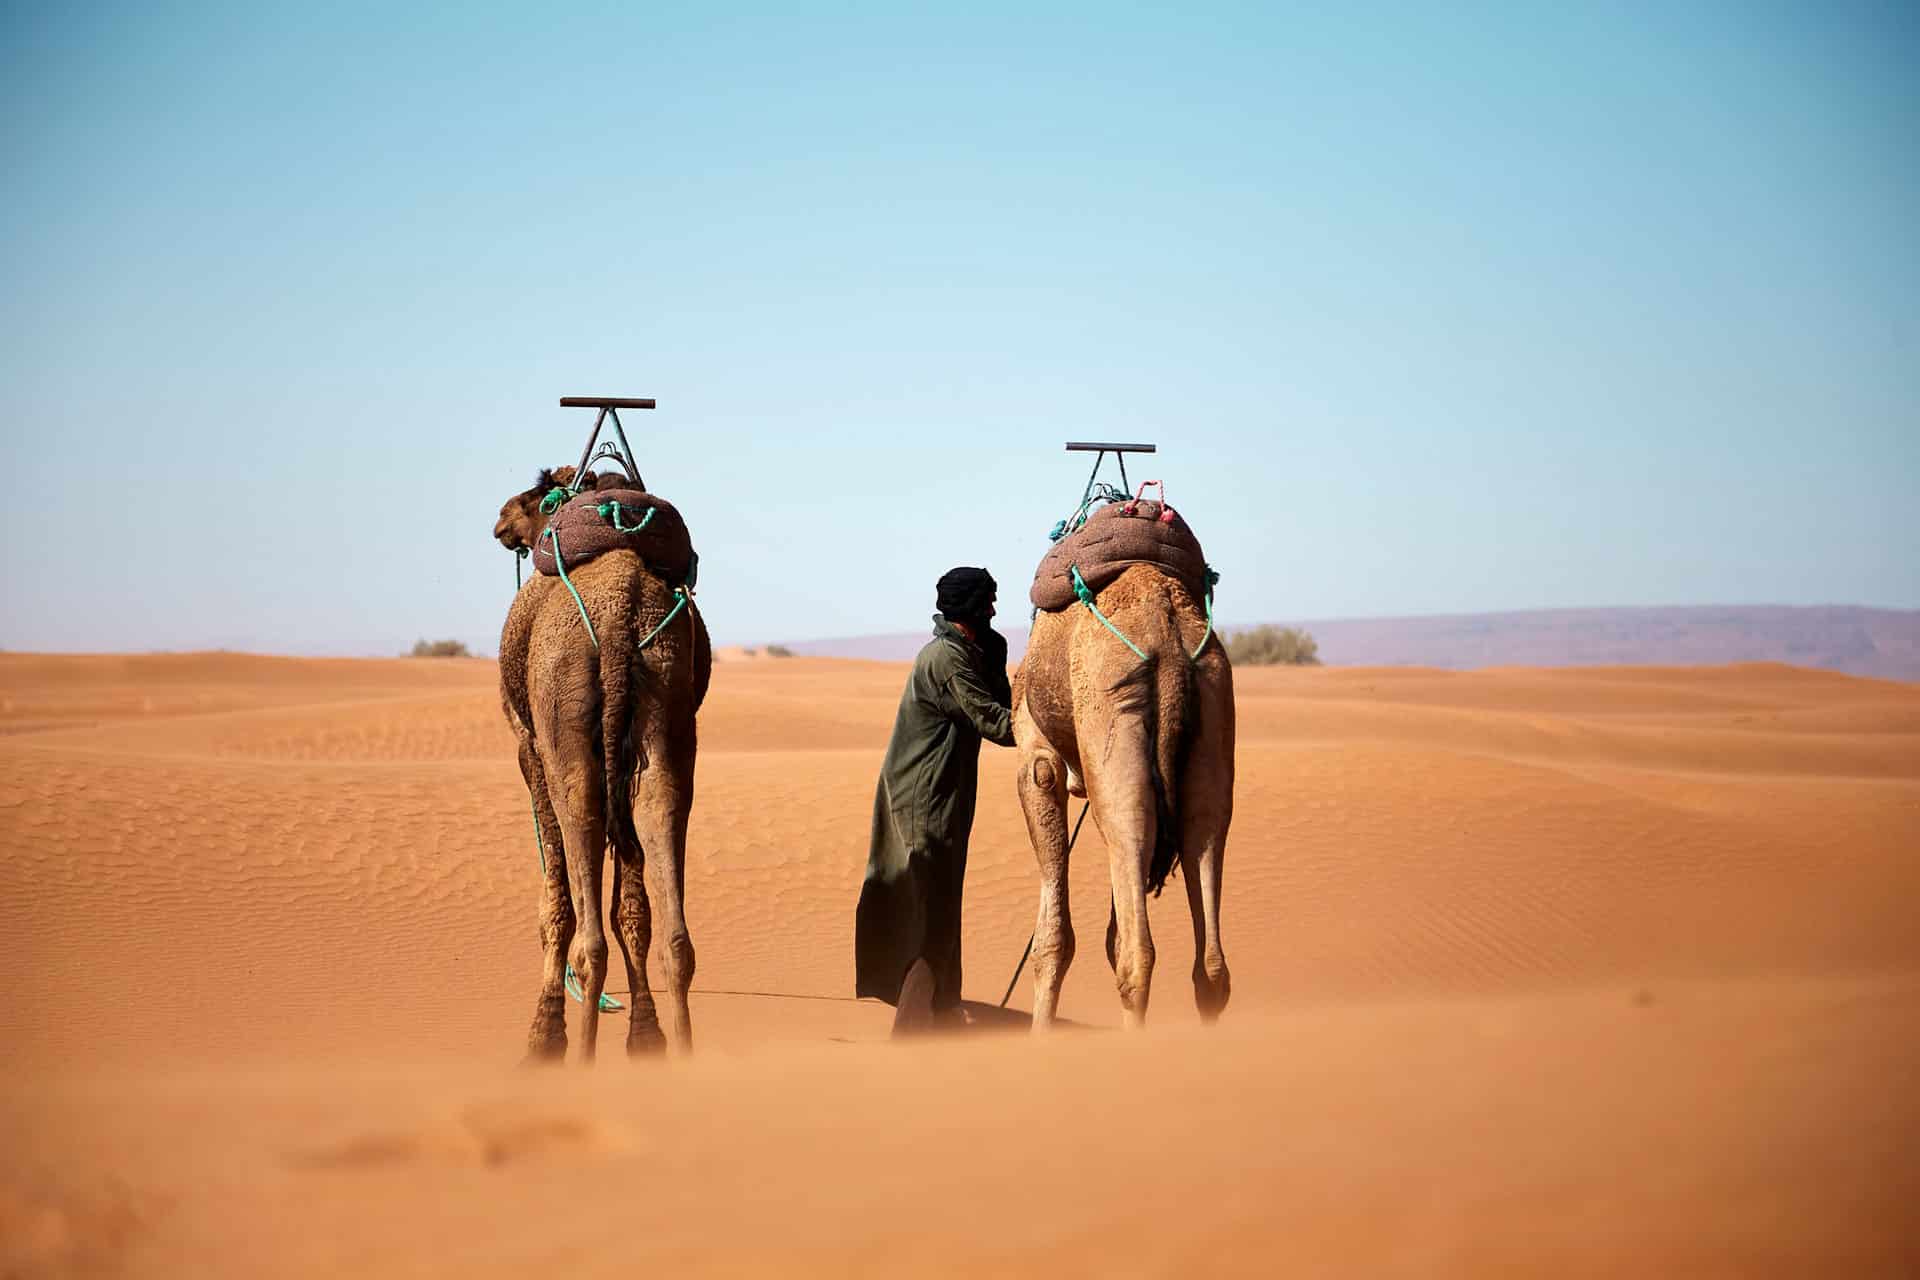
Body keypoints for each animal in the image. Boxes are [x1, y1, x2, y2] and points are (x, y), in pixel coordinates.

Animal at [493, 466, 712, 1060]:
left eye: (535, 495)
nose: (501, 519)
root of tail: (618, 620)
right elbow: (632, 906)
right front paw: (647, 1037)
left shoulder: (529, 748)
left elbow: (557, 901)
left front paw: (543, 1037)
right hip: (667, 706)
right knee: (661, 817)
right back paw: (683, 1048)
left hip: (564, 717)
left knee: (582, 829)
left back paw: (579, 1053)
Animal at [1012, 563, 1234, 1029]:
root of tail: (1168, 638)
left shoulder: (1037, 758)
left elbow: (1052, 941)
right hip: (1213, 709)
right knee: (1210, 962)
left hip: (1112, 713)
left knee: (1136, 956)